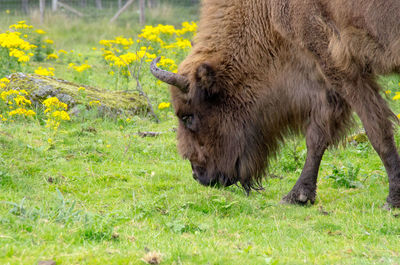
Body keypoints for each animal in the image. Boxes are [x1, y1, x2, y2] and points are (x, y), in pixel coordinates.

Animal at [151, 0, 400, 206]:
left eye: (188, 116)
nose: (198, 175)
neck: (265, 11)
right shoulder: (324, 80)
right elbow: (317, 137)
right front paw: (298, 196)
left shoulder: (341, 67)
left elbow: (377, 130)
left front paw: (393, 199)